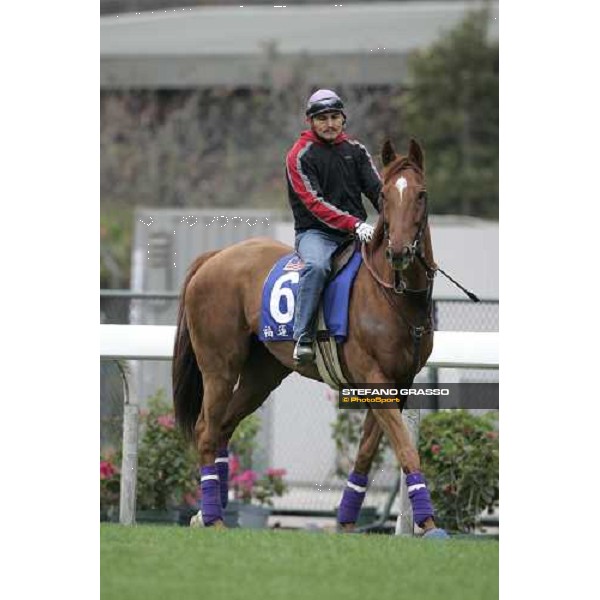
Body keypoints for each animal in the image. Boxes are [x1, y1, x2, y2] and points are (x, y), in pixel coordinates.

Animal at [173, 139, 446, 536]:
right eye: (384, 195)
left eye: (421, 194)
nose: (398, 251)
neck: (394, 294)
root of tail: (214, 256)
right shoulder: (374, 378)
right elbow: (406, 449)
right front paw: (427, 522)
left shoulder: (398, 383)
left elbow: (367, 452)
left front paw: (346, 522)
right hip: (219, 367)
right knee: (207, 430)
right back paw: (214, 518)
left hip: (262, 375)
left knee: (224, 427)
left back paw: (207, 513)